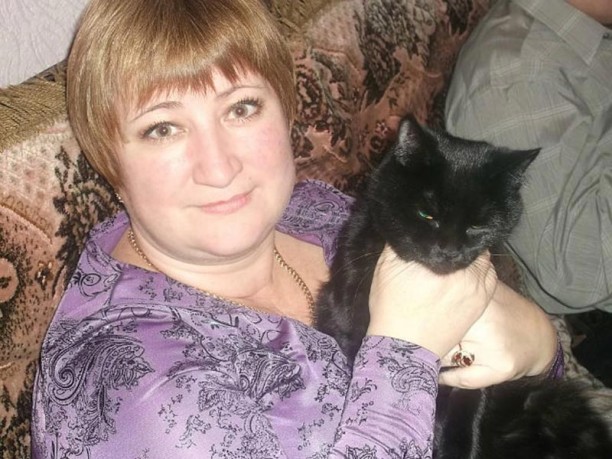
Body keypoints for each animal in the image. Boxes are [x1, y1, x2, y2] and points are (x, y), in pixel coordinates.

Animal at [315, 115, 612, 458]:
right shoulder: (347, 321)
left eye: (477, 225)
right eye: (426, 213)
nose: (449, 251)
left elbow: (468, 411)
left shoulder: (480, 372)